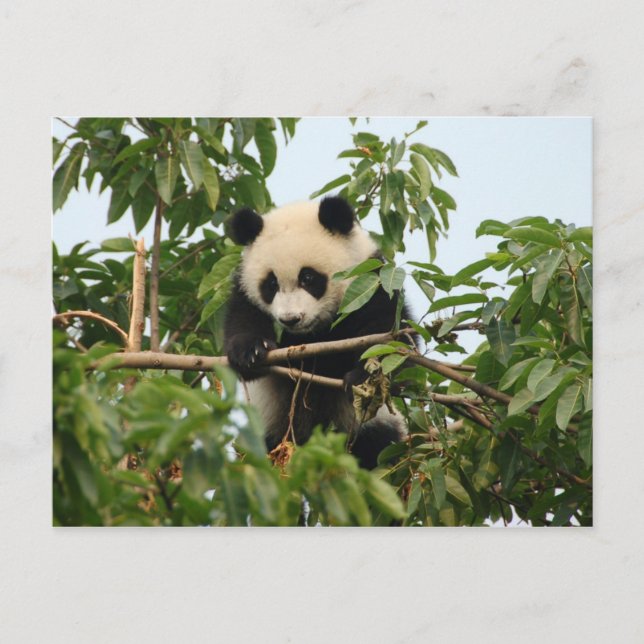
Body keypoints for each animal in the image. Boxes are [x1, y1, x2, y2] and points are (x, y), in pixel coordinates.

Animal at [224, 196, 411, 469]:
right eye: (271, 284)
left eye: (308, 278)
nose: (290, 319)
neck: (312, 334)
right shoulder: (245, 293)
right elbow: (242, 320)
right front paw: (250, 352)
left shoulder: (371, 282)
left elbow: (391, 338)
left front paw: (363, 378)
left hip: (370, 430)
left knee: (379, 449)